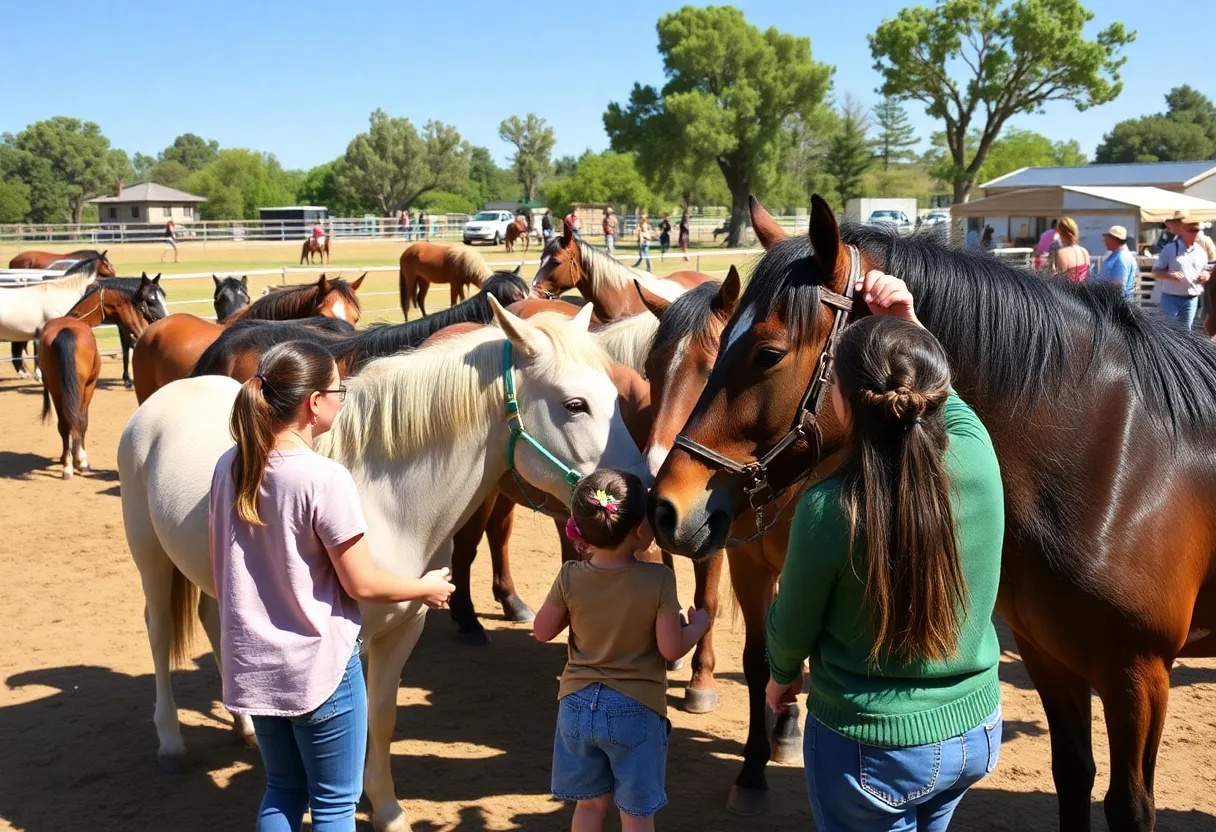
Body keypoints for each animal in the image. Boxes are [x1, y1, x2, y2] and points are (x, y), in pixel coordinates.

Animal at [118, 301, 647, 832]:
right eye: (574, 404)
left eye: (617, 399)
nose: (639, 497)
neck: (384, 505)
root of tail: (164, 399)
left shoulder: (400, 631)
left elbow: (382, 717)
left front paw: (387, 809)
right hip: (150, 559)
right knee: (158, 631)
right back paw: (171, 744)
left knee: (214, 623)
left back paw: (245, 725)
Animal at [650, 194, 1216, 831]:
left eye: (767, 354)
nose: (665, 506)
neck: (1117, 456)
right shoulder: (1050, 658)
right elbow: (1073, 775)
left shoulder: (1137, 677)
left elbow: (1129, 807)